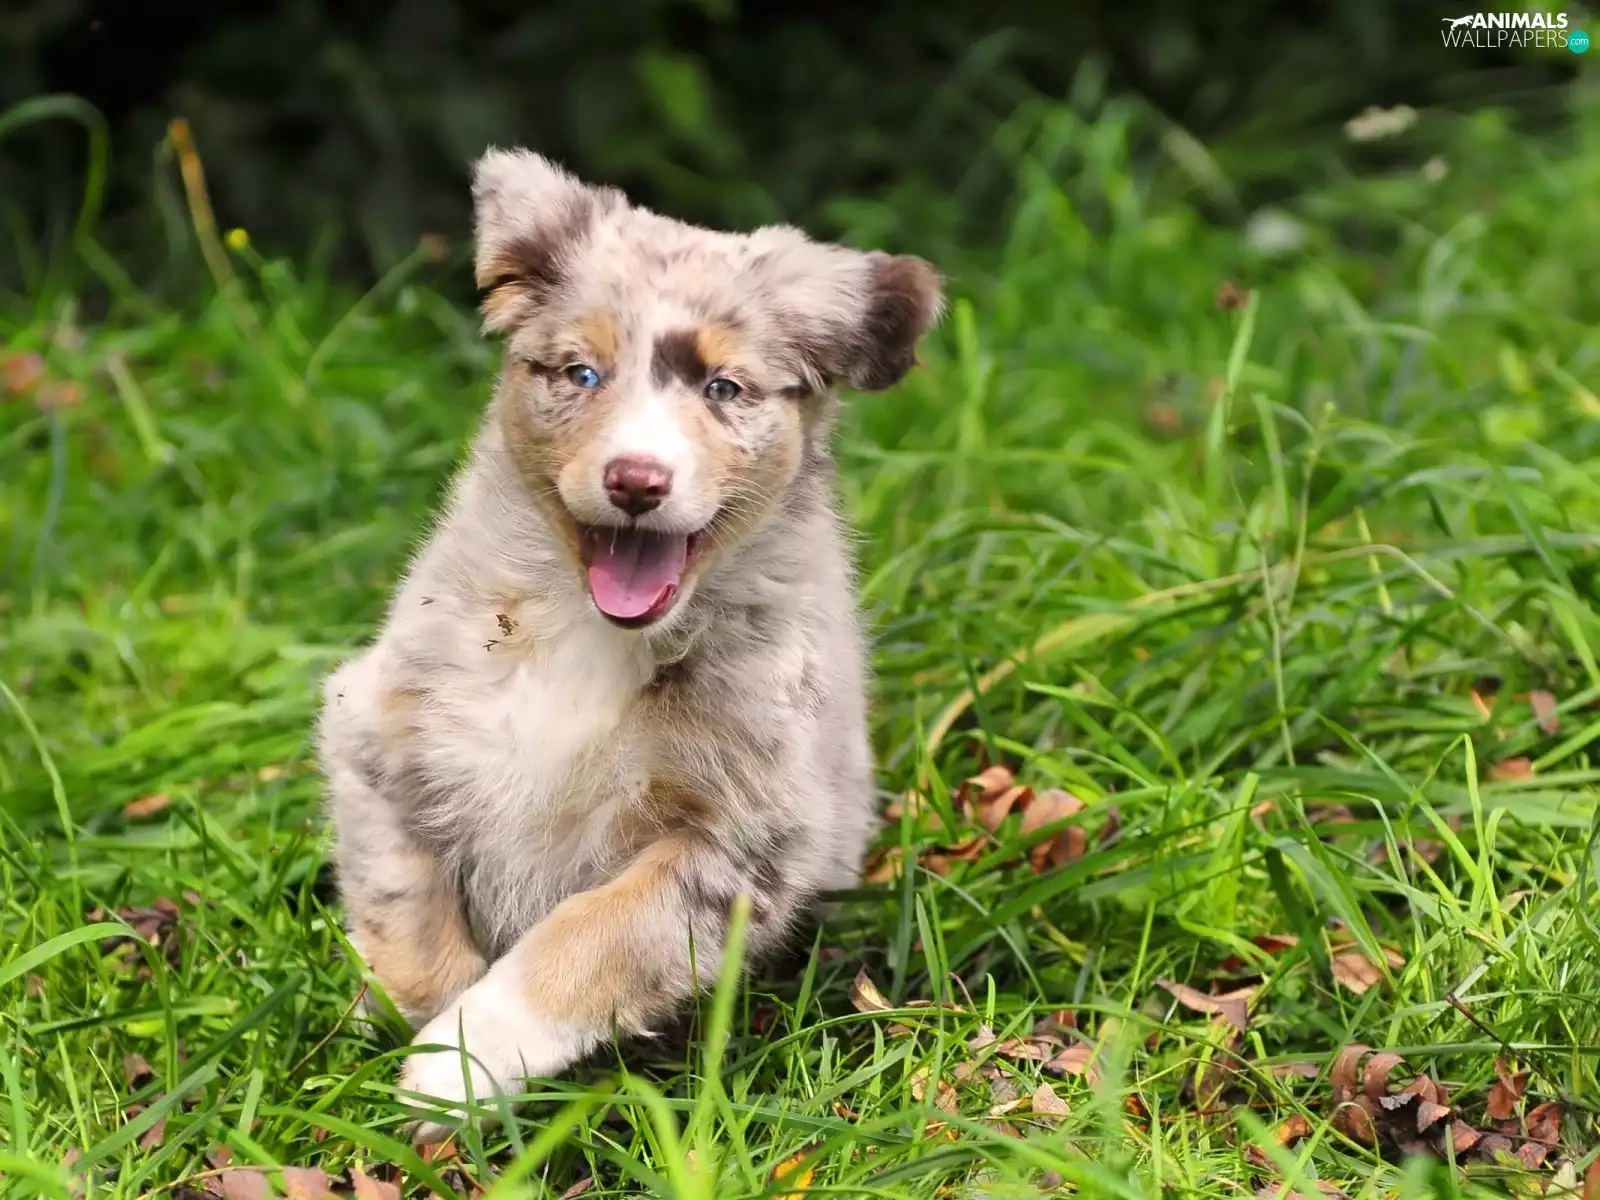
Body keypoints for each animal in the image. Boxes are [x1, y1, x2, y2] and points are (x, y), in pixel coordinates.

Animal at [316, 148, 942, 1130]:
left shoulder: (737, 842)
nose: (637, 480)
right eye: (581, 374)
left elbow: (588, 939)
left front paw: (457, 1067)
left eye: (724, 389)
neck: (585, 632)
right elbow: (403, 903)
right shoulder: (375, 728)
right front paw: (422, 1055)